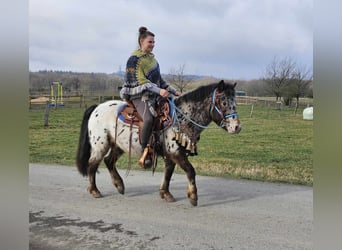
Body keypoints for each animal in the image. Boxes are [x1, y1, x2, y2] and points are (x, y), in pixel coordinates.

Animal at [75, 79, 240, 205]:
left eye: (235, 102)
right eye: (223, 103)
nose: (237, 127)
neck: (181, 117)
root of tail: (97, 107)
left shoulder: (172, 154)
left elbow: (168, 173)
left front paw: (165, 193)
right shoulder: (175, 152)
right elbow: (190, 171)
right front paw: (193, 196)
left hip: (118, 145)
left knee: (109, 161)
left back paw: (119, 185)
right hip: (100, 145)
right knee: (93, 164)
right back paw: (95, 191)